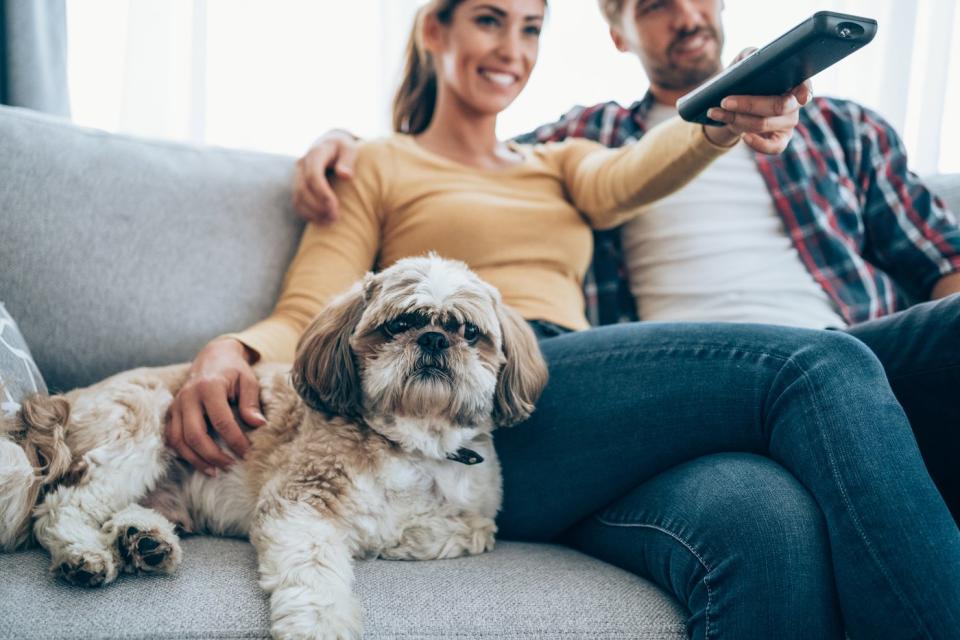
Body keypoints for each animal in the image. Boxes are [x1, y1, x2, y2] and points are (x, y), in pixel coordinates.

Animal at [1, 255, 548, 640]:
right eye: (399, 324)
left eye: (470, 332)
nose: (434, 339)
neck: (413, 444)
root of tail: (67, 400)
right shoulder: (298, 503)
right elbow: (314, 577)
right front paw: (322, 626)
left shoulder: (475, 511)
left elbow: (474, 530)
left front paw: (398, 536)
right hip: (142, 425)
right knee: (61, 507)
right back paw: (85, 555)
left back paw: (144, 541)